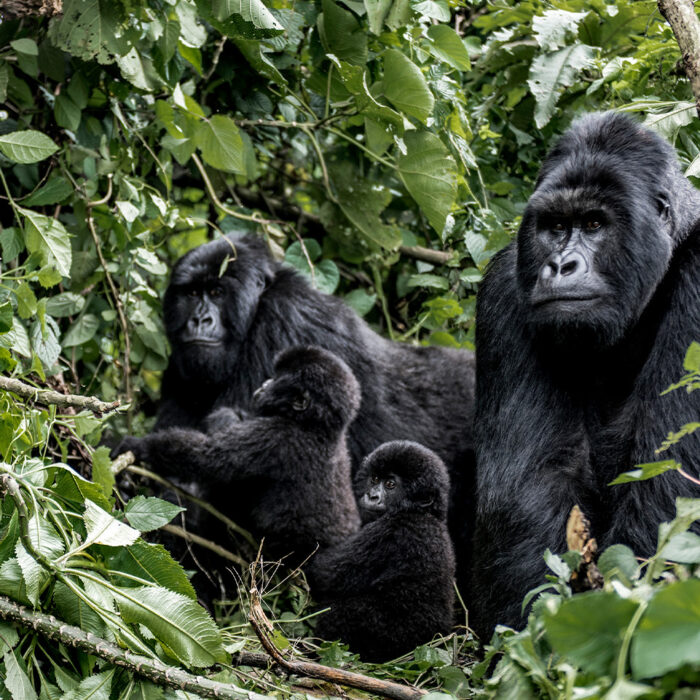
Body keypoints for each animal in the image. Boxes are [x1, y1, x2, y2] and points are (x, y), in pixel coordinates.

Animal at [113, 348, 360, 560]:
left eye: (277, 379)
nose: (265, 383)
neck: (318, 426)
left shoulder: (275, 436)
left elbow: (207, 458)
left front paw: (141, 445)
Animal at [306, 440, 454, 664]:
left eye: (391, 484)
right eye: (375, 479)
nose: (372, 496)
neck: (423, 512)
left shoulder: (389, 532)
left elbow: (325, 573)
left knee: (339, 614)